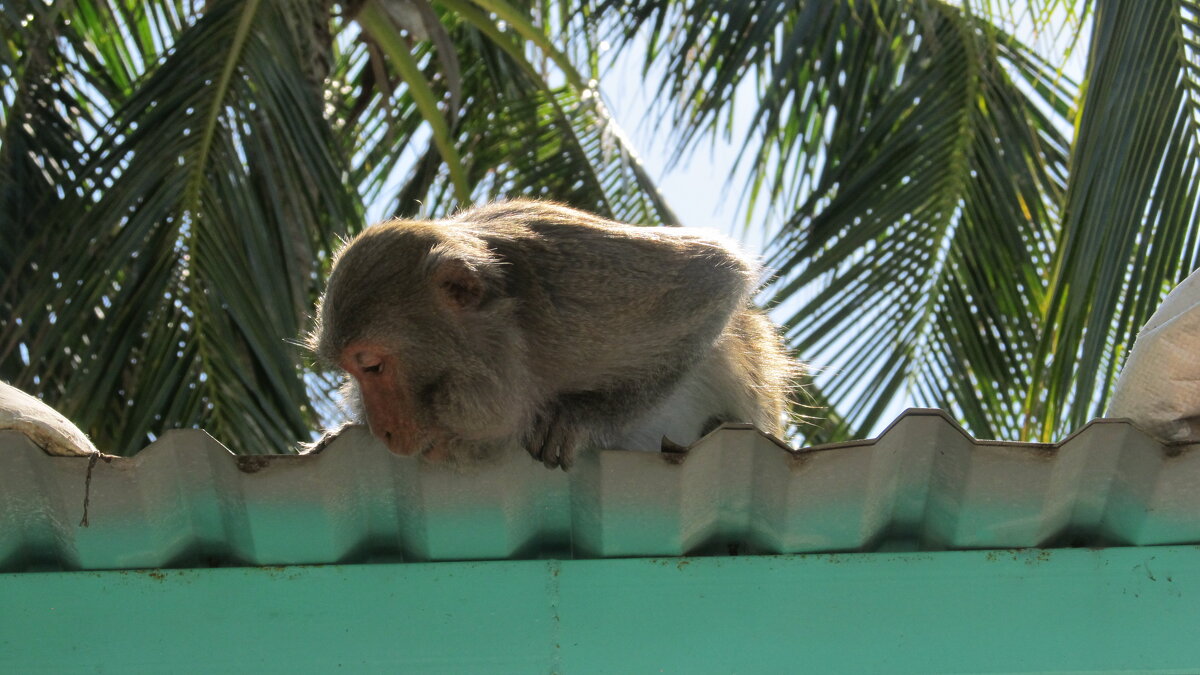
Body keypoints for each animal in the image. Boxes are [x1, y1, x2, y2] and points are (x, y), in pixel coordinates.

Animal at [307, 196, 796, 466]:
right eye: (354, 374)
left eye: (372, 366)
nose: (384, 432)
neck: (513, 346)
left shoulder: (579, 290)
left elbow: (714, 275)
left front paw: (585, 418)